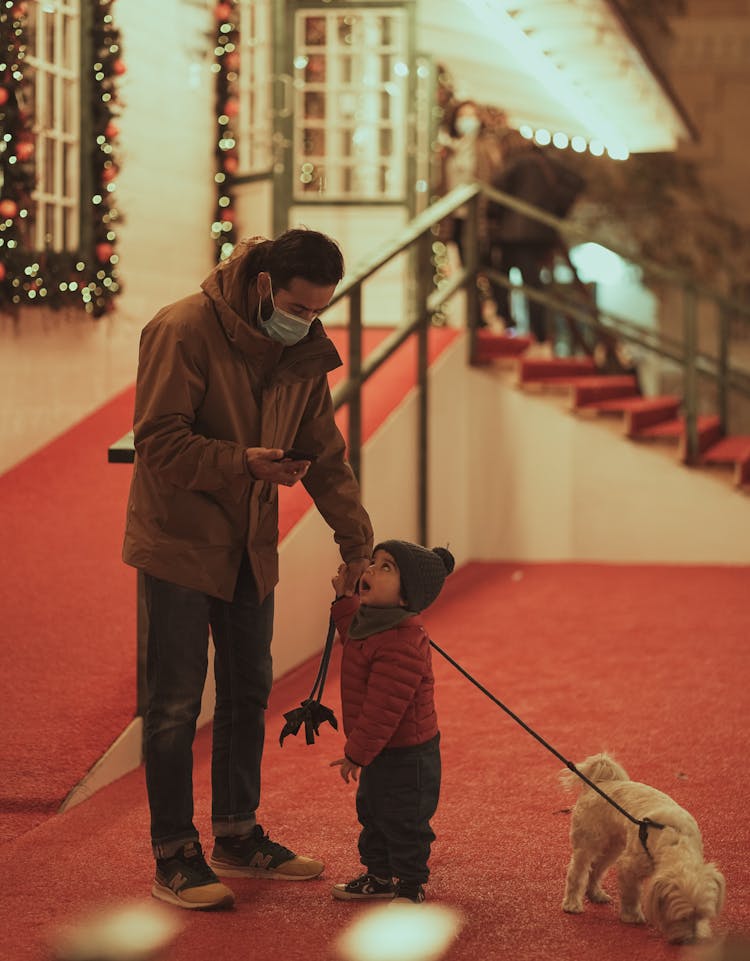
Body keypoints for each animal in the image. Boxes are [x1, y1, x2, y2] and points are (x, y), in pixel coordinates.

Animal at [560, 752, 724, 944]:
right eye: (682, 917)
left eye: (702, 916)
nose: (691, 941)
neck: (677, 839)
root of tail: (600, 783)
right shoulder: (629, 867)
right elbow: (631, 894)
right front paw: (631, 916)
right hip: (588, 843)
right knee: (577, 872)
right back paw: (572, 903)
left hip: (613, 847)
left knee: (596, 869)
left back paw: (595, 894)